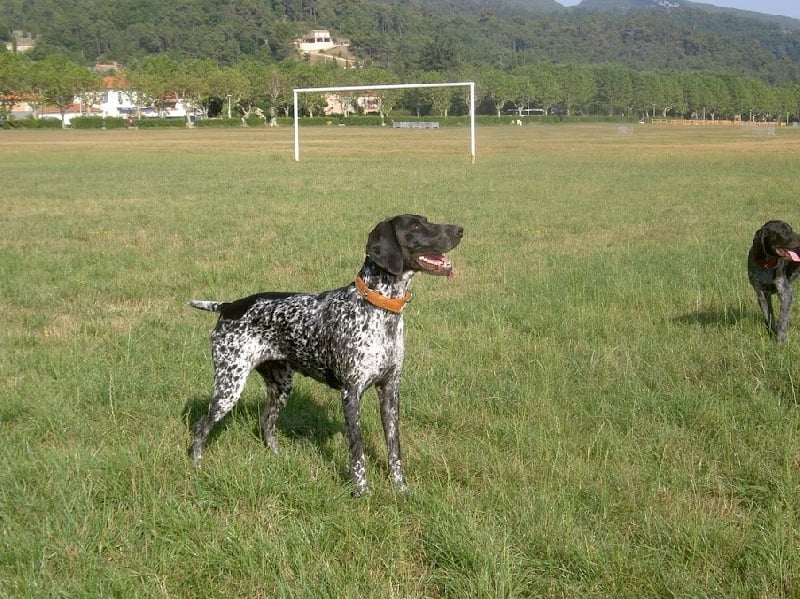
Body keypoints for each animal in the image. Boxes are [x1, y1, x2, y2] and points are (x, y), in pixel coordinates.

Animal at [188, 216, 462, 496]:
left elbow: (394, 448)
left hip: (280, 386)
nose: (459, 230)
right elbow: (357, 452)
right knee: (201, 427)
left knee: (265, 422)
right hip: (228, 387)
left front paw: (401, 489)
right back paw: (197, 467)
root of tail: (229, 306)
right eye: (415, 226)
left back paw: (279, 458)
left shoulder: (390, 391)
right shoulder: (351, 393)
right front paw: (361, 492)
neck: (379, 309)